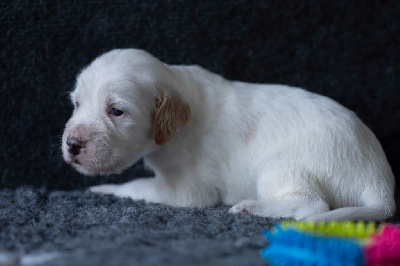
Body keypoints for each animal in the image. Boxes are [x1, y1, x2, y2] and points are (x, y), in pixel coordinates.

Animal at [61, 48, 396, 221]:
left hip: (280, 167)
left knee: (312, 205)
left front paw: (102, 190)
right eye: (76, 104)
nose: (72, 144)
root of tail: (379, 183)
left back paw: (251, 207)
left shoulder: (185, 190)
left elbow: (137, 186)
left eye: (117, 111)